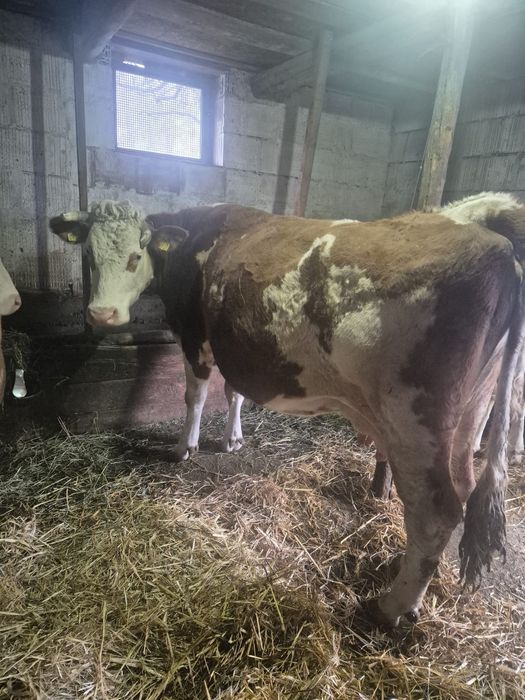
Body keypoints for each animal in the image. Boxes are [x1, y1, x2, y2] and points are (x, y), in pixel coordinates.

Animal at [50, 192, 525, 627]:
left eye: (136, 256)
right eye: (88, 256)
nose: (102, 314)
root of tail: (494, 242)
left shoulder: (195, 336)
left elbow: (195, 395)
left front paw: (185, 447)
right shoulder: (237, 348)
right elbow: (235, 393)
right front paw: (233, 439)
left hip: (415, 418)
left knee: (435, 513)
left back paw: (390, 606)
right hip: (471, 410)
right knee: (464, 484)